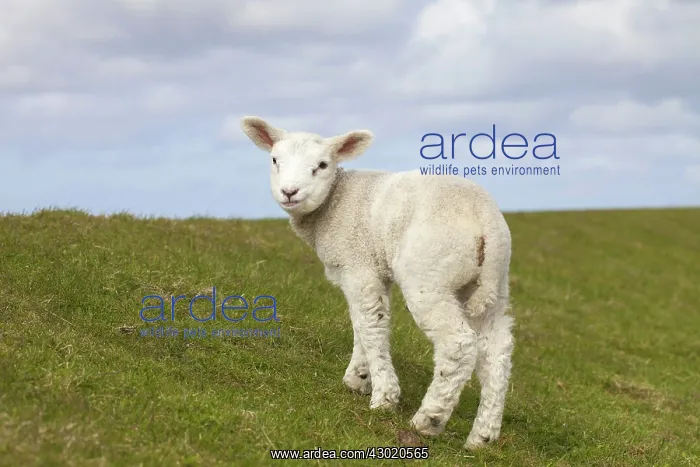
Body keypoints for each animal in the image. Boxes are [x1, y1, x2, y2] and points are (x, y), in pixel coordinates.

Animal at [239, 116, 515, 450]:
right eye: (275, 160)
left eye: (322, 164)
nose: (290, 191)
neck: (336, 201)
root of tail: (486, 219)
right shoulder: (371, 271)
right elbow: (364, 321)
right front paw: (359, 377)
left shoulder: (358, 265)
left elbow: (370, 324)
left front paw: (383, 396)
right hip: (490, 286)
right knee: (498, 350)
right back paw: (482, 436)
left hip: (429, 274)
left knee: (458, 344)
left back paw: (429, 419)